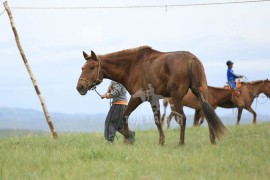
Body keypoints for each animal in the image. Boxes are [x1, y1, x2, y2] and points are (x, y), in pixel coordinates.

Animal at [77, 46, 227, 145]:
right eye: (83, 67)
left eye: (91, 67)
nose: (80, 87)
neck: (132, 66)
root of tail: (192, 59)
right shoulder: (153, 99)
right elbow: (157, 121)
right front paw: (161, 142)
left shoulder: (137, 98)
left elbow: (125, 115)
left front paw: (127, 139)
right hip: (200, 93)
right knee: (208, 113)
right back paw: (212, 140)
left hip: (177, 98)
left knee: (182, 118)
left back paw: (181, 143)